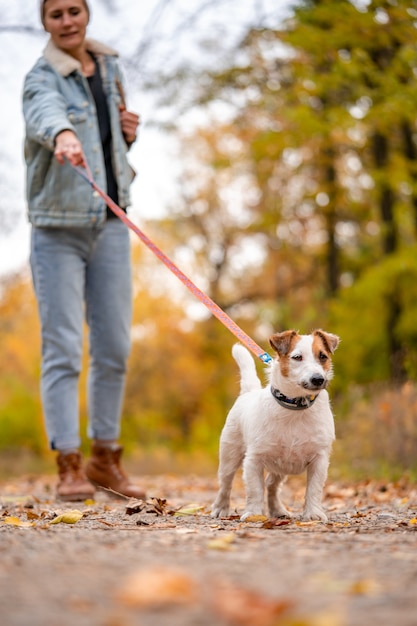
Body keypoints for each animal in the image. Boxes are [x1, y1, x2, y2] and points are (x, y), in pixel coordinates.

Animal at [210, 330, 340, 520]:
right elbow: (255, 490)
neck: (295, 406)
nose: (318, 379)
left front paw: (313, 513)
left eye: (322, 356)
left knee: (271, 484)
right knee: (225, 484)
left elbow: (314, 489)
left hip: (281, 467)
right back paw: (220, 508)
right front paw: (253, 513)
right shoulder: (253, 460)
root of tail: (248, 392)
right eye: (297, 357)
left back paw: (277, 510)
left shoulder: (319, 460)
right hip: (229, 457)